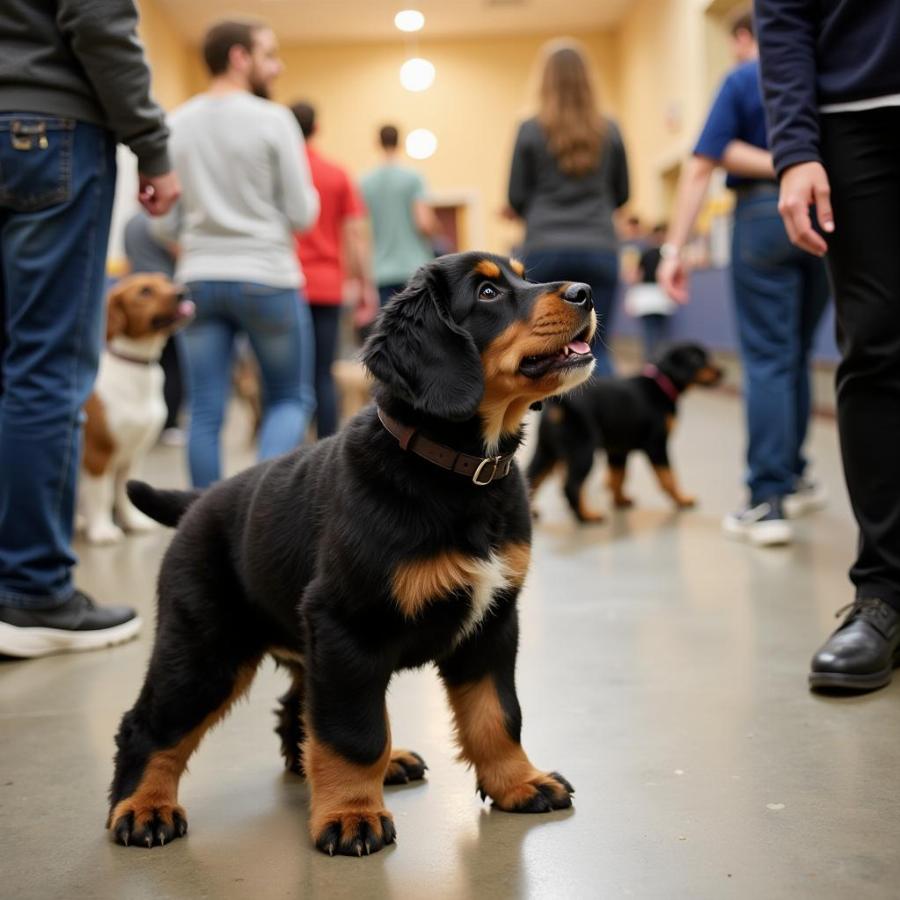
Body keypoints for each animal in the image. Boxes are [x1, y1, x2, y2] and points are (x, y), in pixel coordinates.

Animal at [79, 274, 195, 540]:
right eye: (144, 291)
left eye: (165, 281)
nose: (182, 292)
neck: (136, 367)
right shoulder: (97, 453)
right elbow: (101, 495)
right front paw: (102, 530)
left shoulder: (133, 453)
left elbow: (124, 493)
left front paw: (134, 522)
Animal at [107, 251, 596, 856]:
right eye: (486, 292)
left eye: (524, 275)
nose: (585, 292)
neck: (458, 474)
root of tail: (199, 501)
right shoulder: (346, 626)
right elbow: (355, 732)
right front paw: (350, 817)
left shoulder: (493, 621)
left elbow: (497, 713)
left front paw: (519, 783)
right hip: (205, 648)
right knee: (151, 724)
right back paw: (143, 809)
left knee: (297, 714)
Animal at [528, 346, 724, 528]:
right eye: (697, 359)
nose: (722, 372)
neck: (661, 385)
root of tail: (560, 403)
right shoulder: (657, 446)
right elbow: (669, 477)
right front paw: (681, 499)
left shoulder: (618, 451)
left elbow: (618, 476)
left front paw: (620, 500)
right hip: (582, 450)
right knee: (571, 485)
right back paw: (586, 516)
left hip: (546, 451)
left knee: (532, 476)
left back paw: (533, 511)